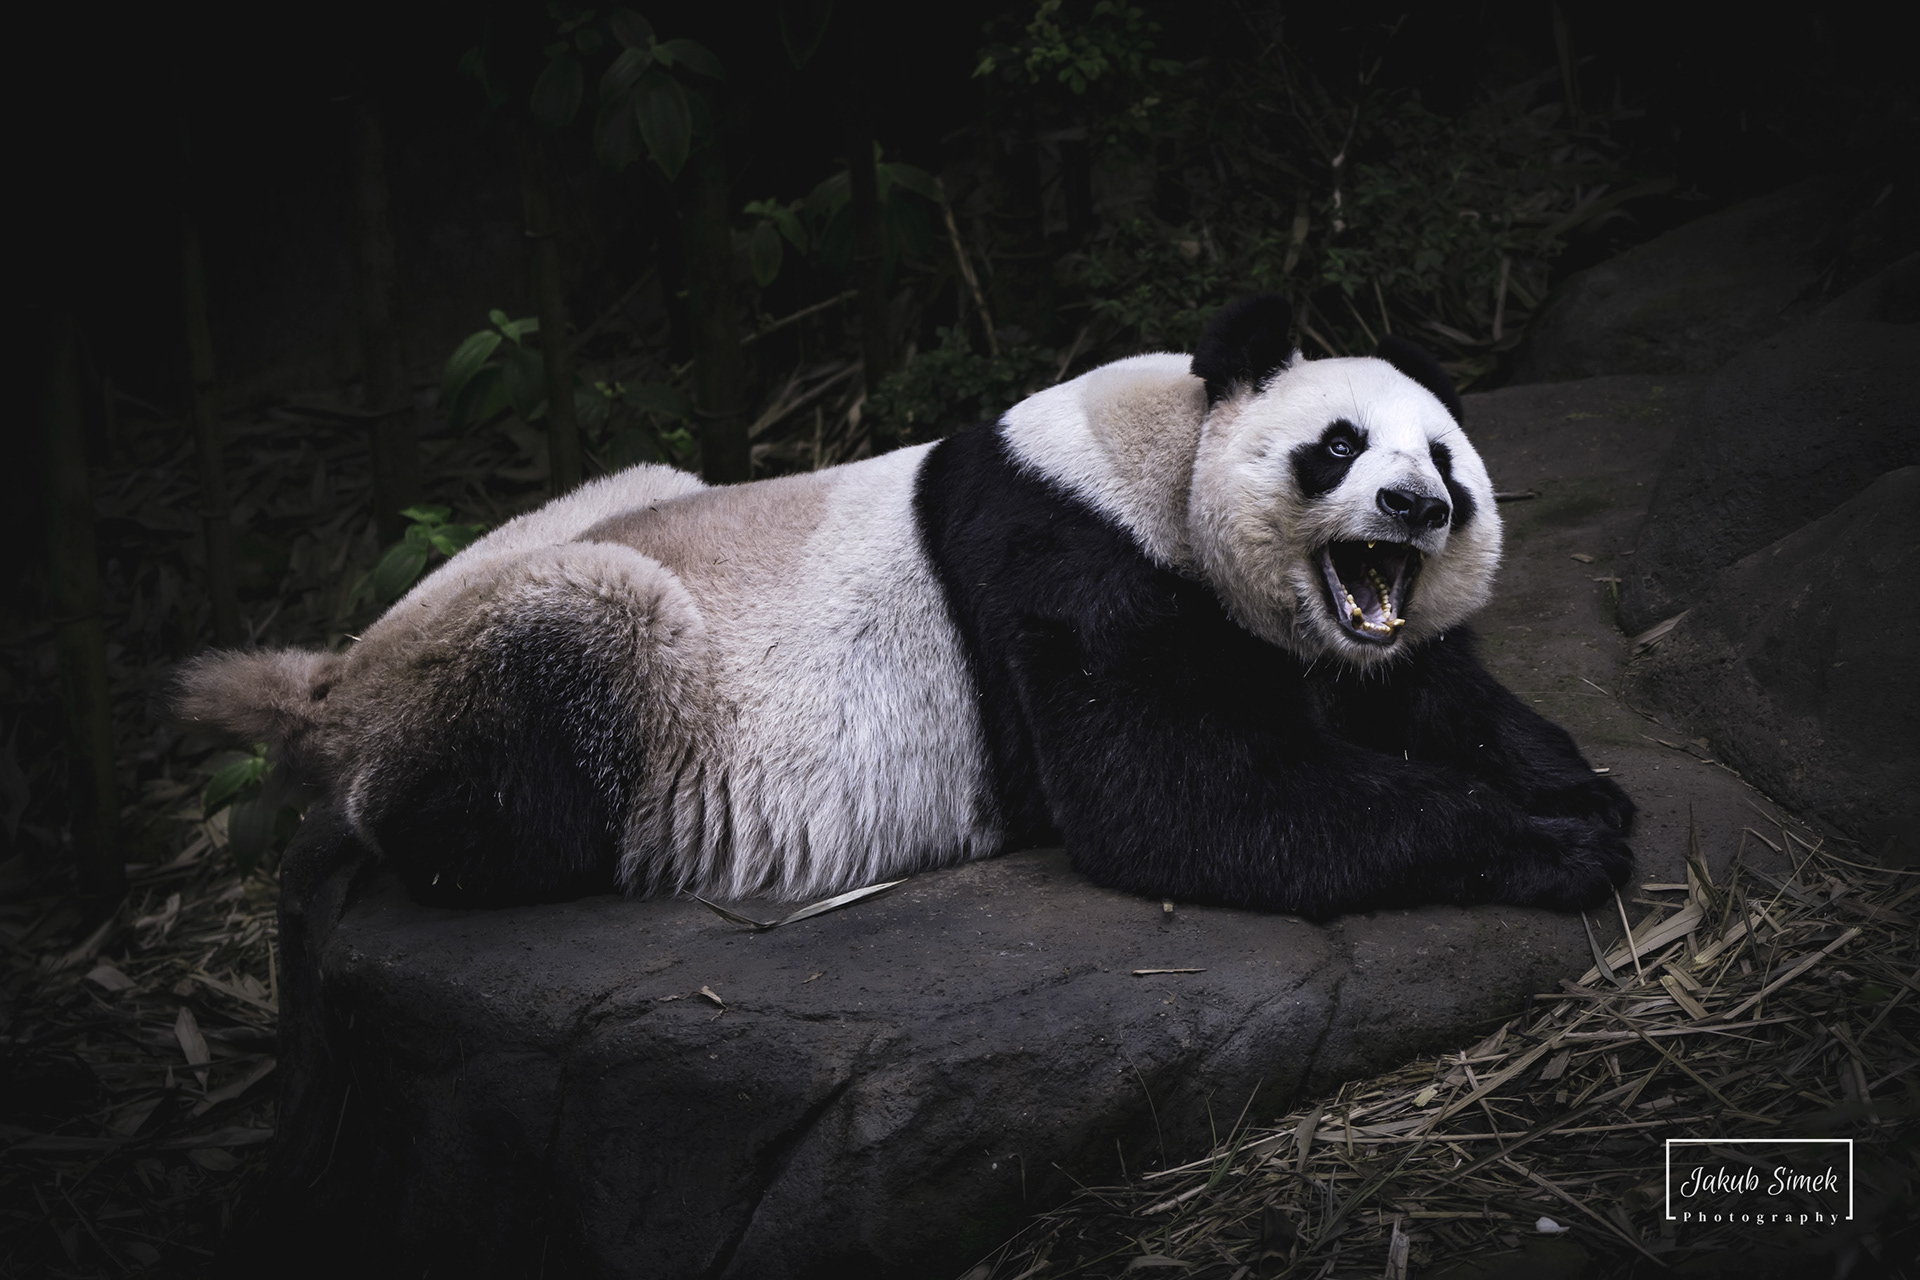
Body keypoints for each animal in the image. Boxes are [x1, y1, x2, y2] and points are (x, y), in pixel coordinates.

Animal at [179, 294, 1633, 917]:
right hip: (545, 638)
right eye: (1335, 448)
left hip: (622, 484)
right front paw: (1553, 845)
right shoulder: (1067, 566)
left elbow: (1420, 690)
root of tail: (338, 680)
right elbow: (1184, 799)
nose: (1417, 510)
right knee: (553, 682)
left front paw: (1580, 788)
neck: (1152, 458)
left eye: (1446, 460)